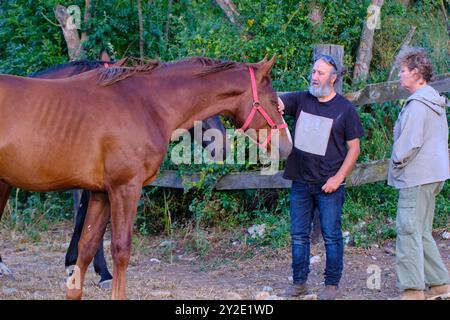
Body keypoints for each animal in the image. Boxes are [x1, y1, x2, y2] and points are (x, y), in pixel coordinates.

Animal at [0, 55, 292, 300]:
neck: (146, 104)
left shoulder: (100, 194)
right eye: (272, 101)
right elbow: (121, 249)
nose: (287, 147)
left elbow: (87, 247)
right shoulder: (125, 189)